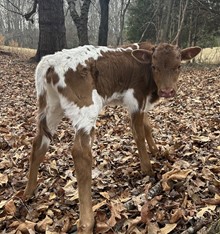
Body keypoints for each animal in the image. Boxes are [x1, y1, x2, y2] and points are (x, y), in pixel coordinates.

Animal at [23, 43, 201, 233]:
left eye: (178, 66)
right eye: (154, 67)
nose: (167, 91)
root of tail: (50, 61)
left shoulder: (143, 102)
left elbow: (147, 126)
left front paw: (155, 150)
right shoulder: (136, 99)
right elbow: (138, 133)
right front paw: (148, 169)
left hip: (52, 107)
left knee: (39, 143)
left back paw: (28, 191)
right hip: (85, 107)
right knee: (80, 152)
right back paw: (87, 222)